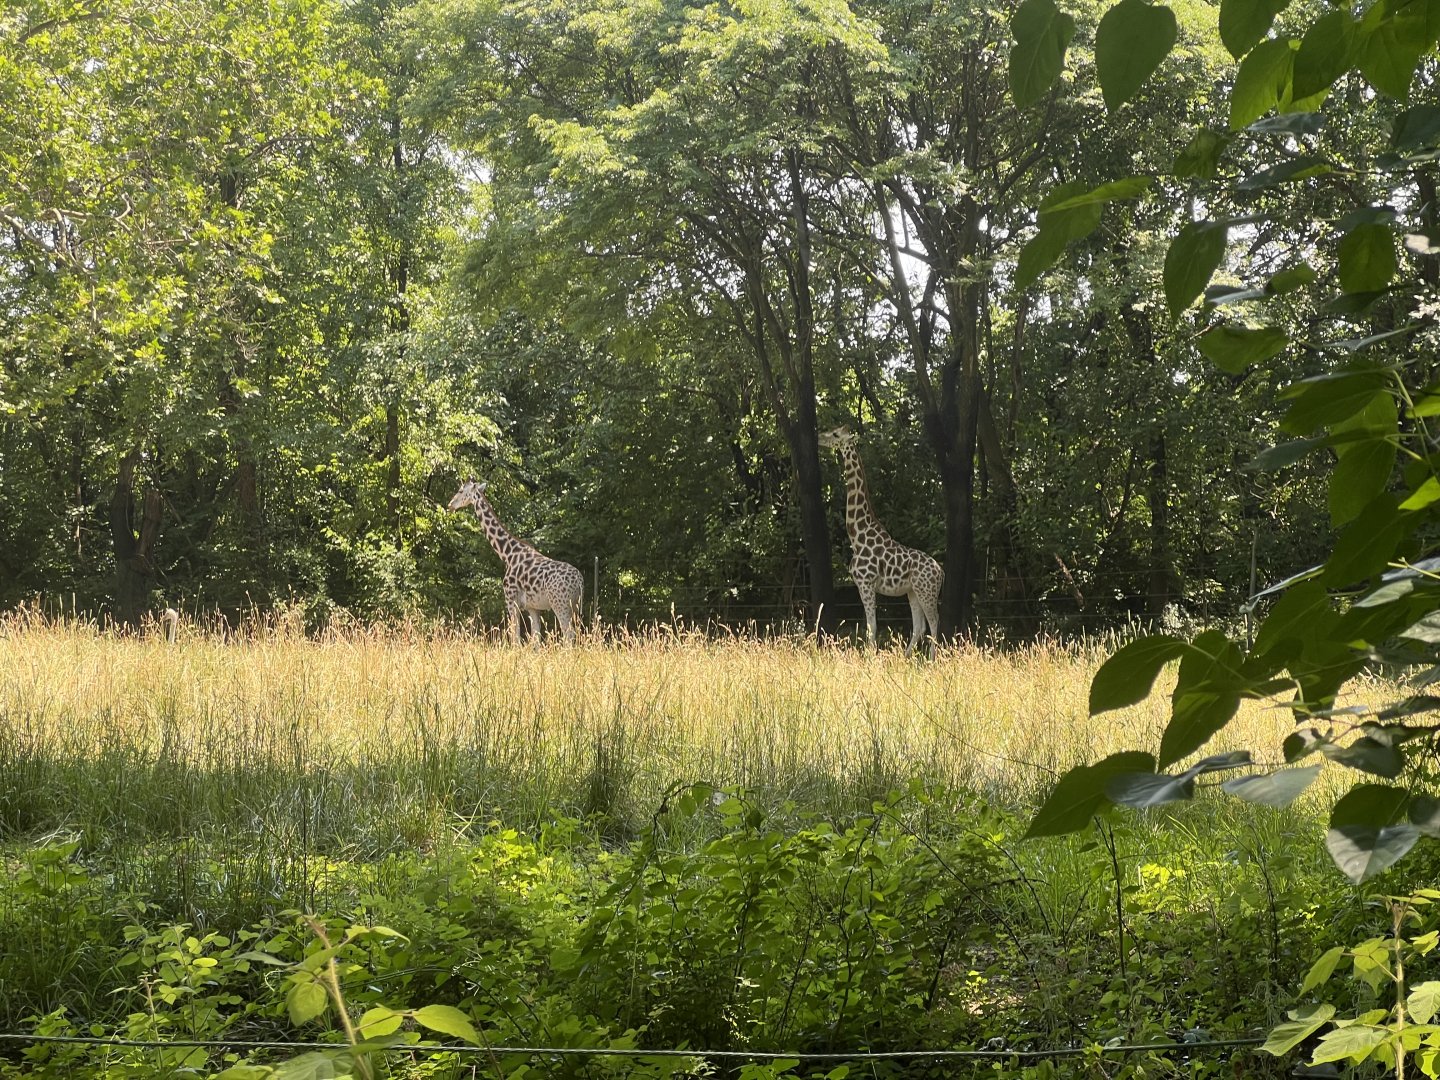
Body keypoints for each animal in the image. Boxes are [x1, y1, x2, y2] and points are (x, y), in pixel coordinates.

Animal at [447, 479, 584, 644]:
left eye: (461, 490)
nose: (450, 505)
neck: (507, 554)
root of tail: (579, 581)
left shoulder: (511, 600)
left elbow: (516, 639)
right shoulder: (533, 607)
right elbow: (535, 640)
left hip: (560, 604)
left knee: (569, 636)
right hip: (575, 606)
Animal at [818, 426, 943, 653]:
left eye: (835, 435)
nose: (820, 438)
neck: (857, 536)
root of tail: (941, 572)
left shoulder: (866, 583)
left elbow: (871, 627)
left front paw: (870, 657)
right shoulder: (864, 585)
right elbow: (871, 627)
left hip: (926, 592)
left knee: (934, 622)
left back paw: (931, 658)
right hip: (913, 592)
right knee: (919, 626)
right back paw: (905, 657)